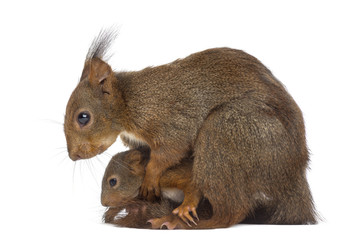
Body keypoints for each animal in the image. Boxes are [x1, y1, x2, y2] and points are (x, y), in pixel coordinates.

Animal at [64, 29, 318, 226]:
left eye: (83, 117)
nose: (73, 156)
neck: (129, 101)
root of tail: (294, 177)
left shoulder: (168, 121)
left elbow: (170, 152)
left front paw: (150, 176)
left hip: (226, 130)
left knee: (231, 211)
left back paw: (180, 222)